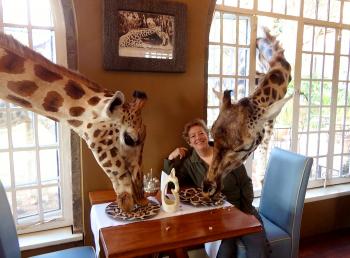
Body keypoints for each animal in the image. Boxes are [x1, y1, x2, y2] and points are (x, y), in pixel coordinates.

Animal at [202, 27, 292, 197]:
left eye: (244, 147)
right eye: (212, 135)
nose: (207, 189)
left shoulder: (269, 122)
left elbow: (265, 145)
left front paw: (262, 179)